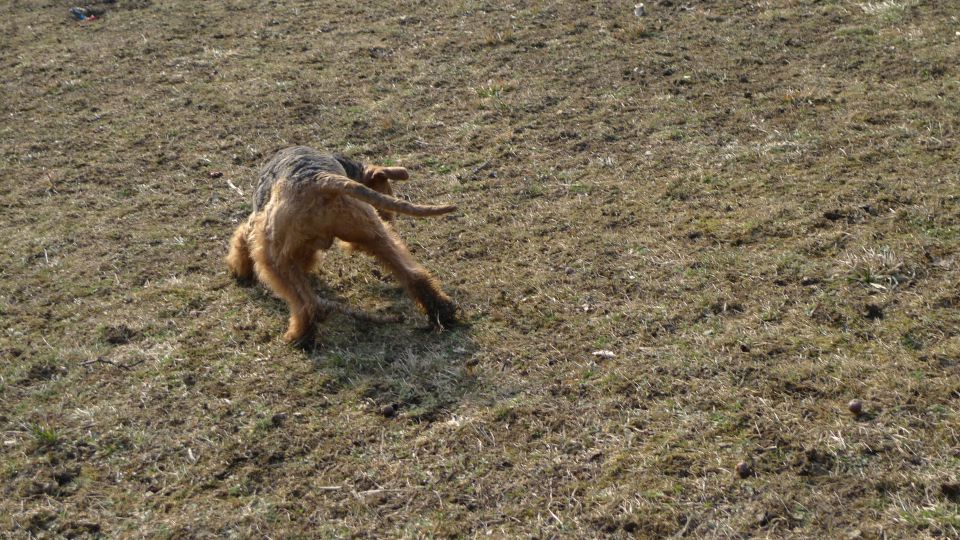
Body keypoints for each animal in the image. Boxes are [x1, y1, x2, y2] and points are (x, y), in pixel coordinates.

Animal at [229, 147, 462, 346]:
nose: (390, 222)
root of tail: (321, 180)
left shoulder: (256, 226)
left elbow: (240, 239)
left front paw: (239, 269)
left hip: (273, 256)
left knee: (306, 304)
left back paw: (299, 337)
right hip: (372, 232)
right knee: (414, 275)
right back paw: (443, 311)